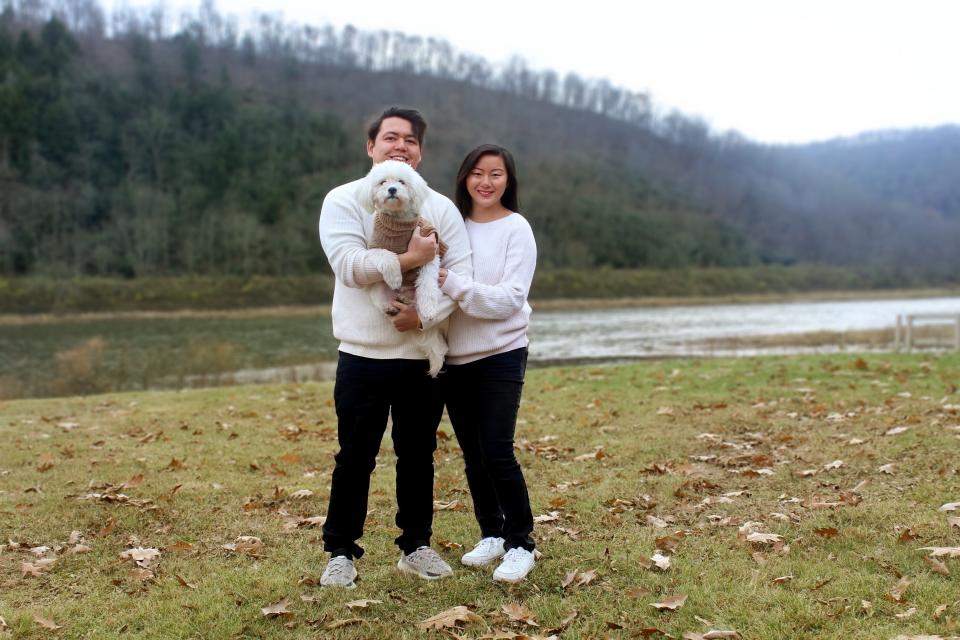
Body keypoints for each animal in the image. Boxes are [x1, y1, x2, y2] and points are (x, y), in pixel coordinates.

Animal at [358, 160, 448, 378]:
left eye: (401, 181)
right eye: (382, 182)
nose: (392, 189)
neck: (398, 221)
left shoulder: (430, 250)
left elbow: (427, 283)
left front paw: (428, 309)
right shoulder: (375, 248)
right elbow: (387, 255)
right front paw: (395, 277)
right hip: (378, 291)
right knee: (383, 302)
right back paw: (391, 305)